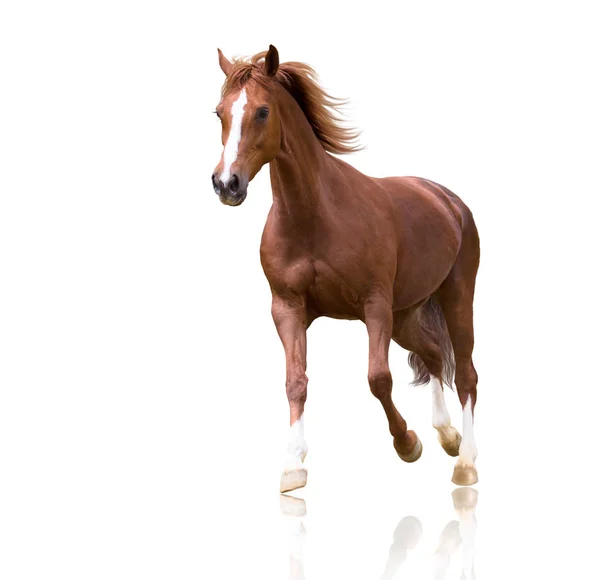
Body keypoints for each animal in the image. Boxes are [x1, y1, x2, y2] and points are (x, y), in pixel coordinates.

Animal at [212, 45, 482, 492]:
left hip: (456, 298)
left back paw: (466, 461)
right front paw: (293, 465)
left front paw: (407, 443)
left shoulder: (374, 305)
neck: (315, 216)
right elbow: (296, 381)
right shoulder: (287, 308)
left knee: (465, 374)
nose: (226, 184)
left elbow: (378, 378)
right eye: (219, 112)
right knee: (431, 354)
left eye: (263, 111)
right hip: (405, 316)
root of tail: (448, 200)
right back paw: (446, 434)